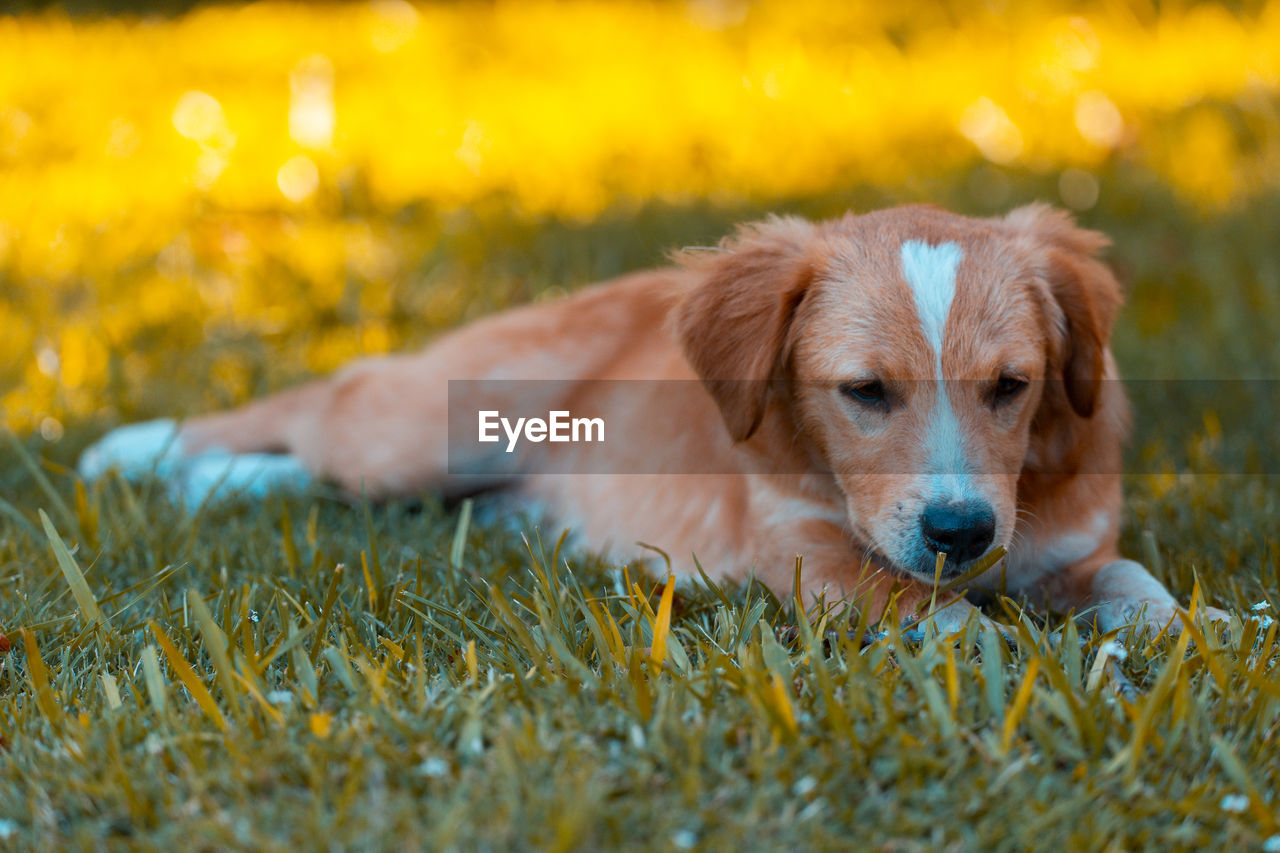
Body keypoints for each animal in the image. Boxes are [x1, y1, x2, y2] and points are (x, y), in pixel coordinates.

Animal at [80, 202, 1228, 635]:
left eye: (1011, 386)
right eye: (864, 393)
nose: (961, 531)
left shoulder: (1074, 547)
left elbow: (1129, 581)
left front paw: (1193, 637)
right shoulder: (809, 558)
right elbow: (939, 617)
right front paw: (1028, 658)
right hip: (433, 426)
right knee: (330, 398)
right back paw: (149, 453)